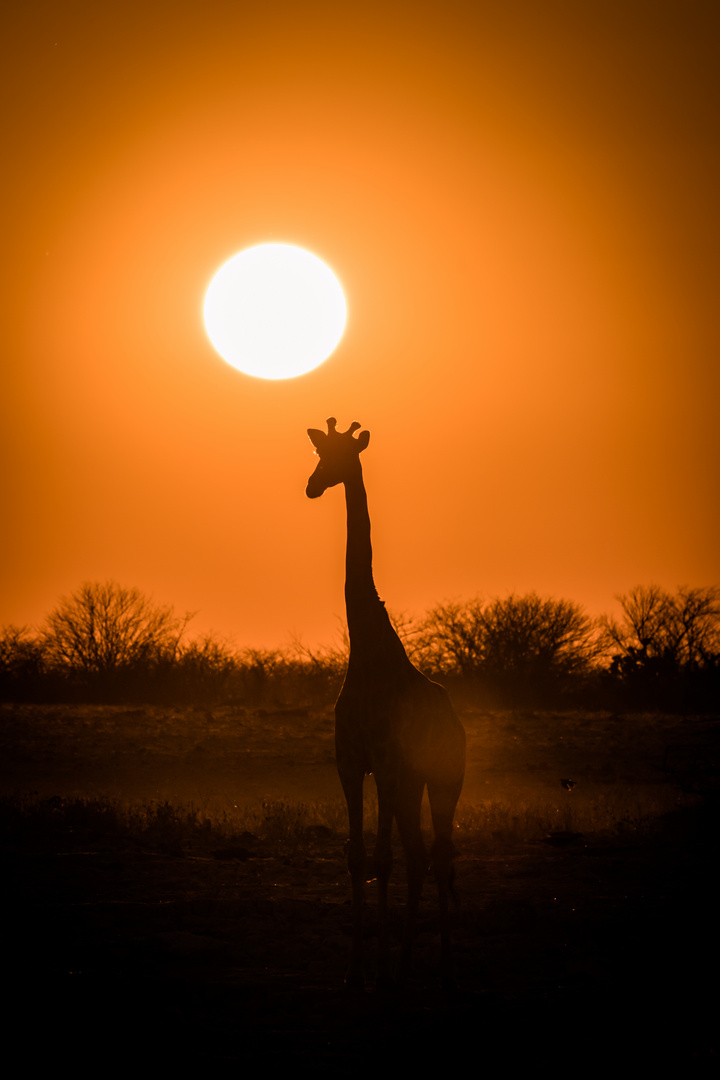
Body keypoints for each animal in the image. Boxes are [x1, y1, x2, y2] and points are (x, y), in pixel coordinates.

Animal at [306, 414, 468, 989]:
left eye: (344, 455)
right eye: (319, 453)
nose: (312, 486)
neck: (368, 652)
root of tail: (459, 725)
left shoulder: (389, 763)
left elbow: (382, 858)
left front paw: (376, 965)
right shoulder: (351, 761)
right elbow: (359, 857)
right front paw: (358, 966)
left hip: (443, 779)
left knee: (440, 853)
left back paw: (440, 960)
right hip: (412, 783)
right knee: (420, 854)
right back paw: (405, 961)